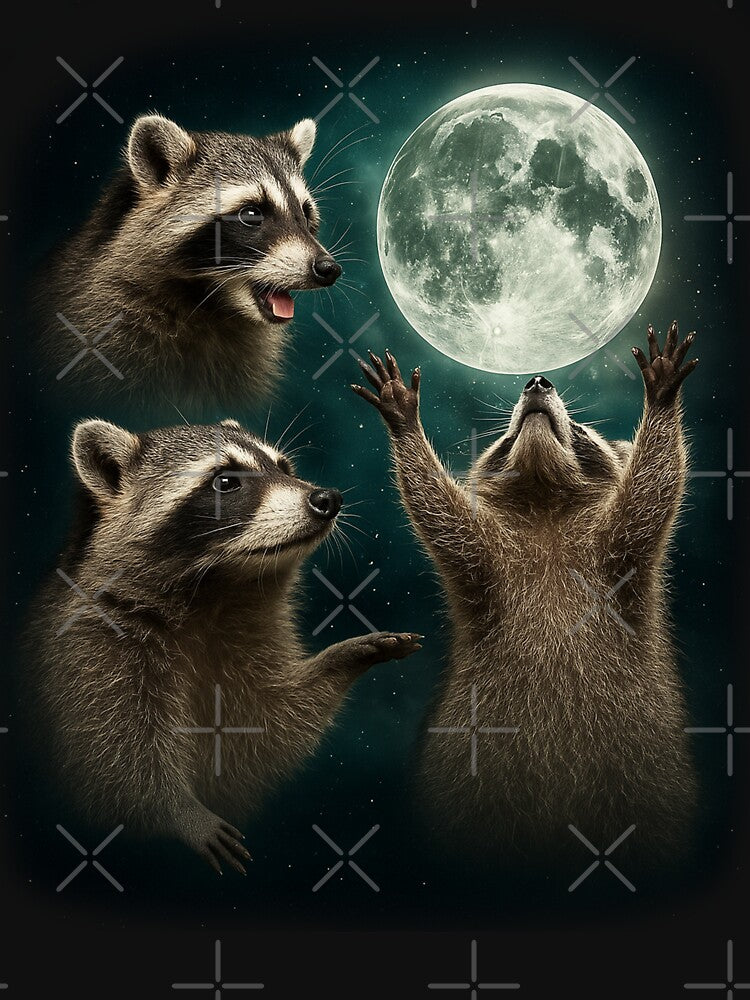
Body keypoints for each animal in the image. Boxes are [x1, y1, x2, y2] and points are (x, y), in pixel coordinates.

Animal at [25, 418, 421, 874]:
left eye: (284, 467)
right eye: (226, 481)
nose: (327, 498)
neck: (219, 588)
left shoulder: (246, 643)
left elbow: (264, 729)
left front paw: (344, 656)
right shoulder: (92, 648)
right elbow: (112, 756)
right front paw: (176, 811)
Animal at [353, 324, 699, 869]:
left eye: (580, 432)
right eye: (507, 438)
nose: (537, 381)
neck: (545, 505)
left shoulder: (620, 558)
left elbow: (653, 489)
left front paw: (662, 399)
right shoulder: (485, 565)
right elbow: (440, 515)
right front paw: (405, 424)